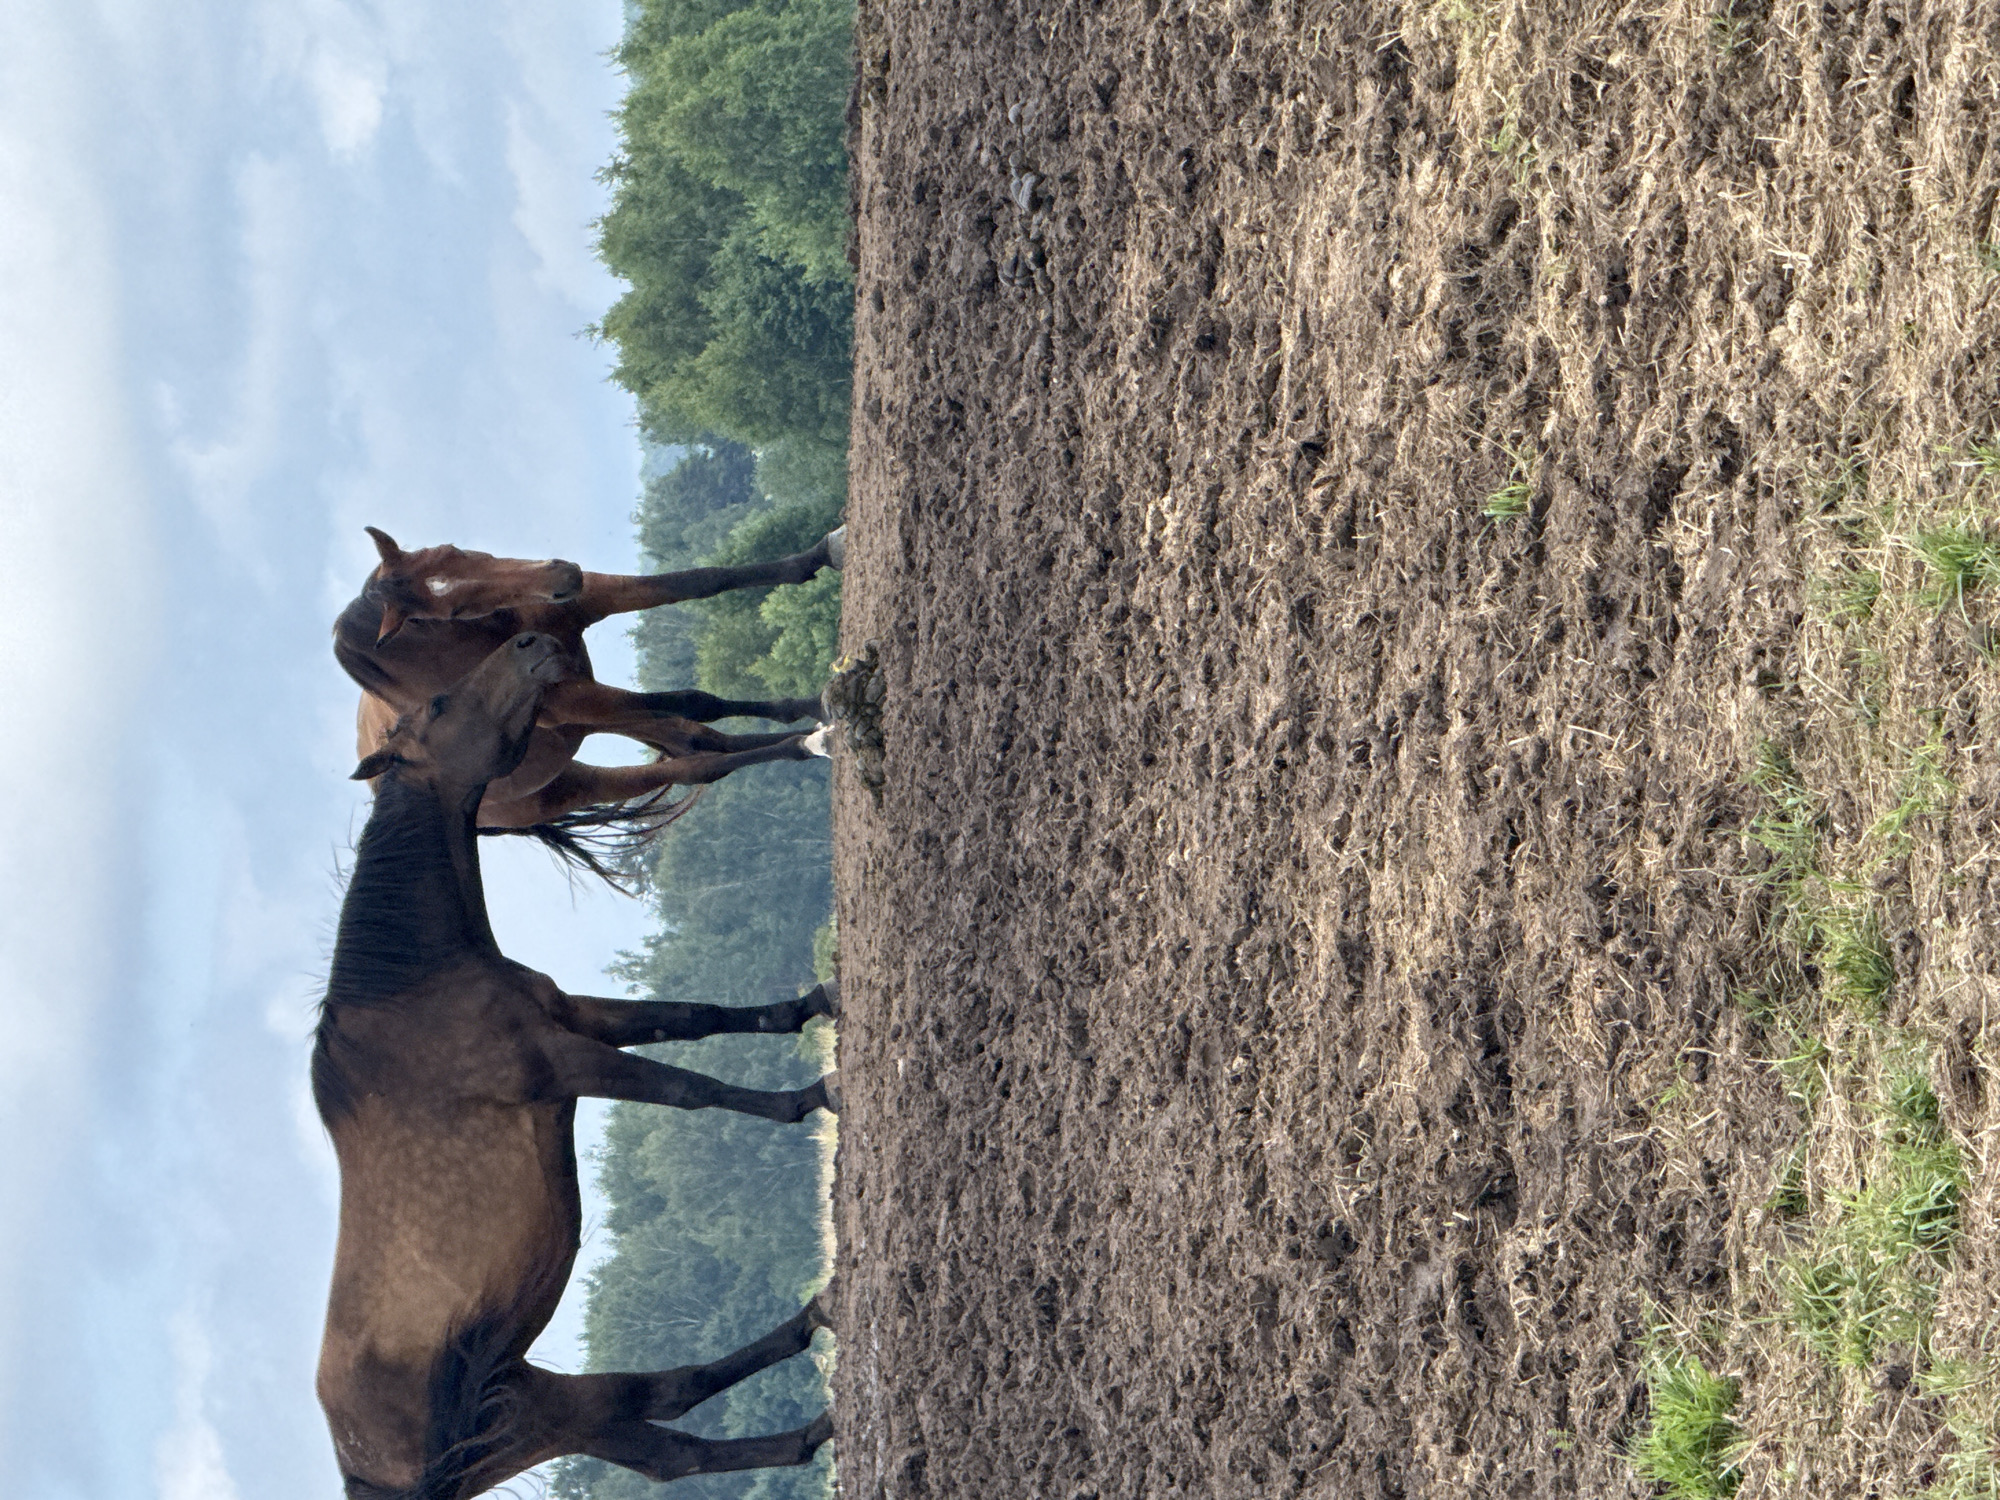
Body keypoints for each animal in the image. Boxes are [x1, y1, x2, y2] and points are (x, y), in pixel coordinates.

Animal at [314, 632, 840, 1498]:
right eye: (439, 703)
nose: (530, 643)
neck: (415, 990)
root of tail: (357, 1461)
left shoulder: (579, 1018)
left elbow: (693, 1021)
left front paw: (811, 1007)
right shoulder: (563, 1064)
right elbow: (690, 1090)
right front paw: (813, 1095)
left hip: (530, 1412)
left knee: (669, 1419)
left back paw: (816, 1359)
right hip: (538, 1412)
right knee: (665, 1414)